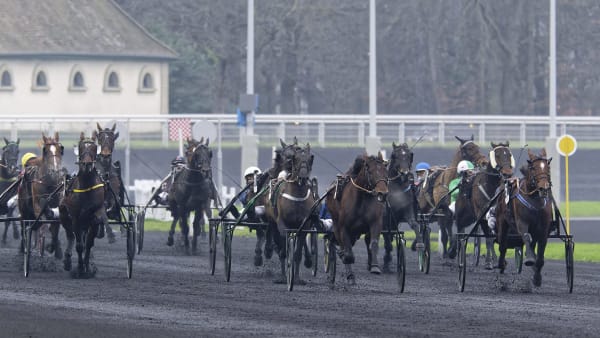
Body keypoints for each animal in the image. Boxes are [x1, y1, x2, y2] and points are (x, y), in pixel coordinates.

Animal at [59, 132, 106, 278]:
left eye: (94, 148)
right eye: (81, 148)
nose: (87, 164)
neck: (86, 187)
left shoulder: (95, 218)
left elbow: (88, 244)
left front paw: (87, 268)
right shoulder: (75, 217)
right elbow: (79, 245)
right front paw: (79, 268)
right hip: (64, 215)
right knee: (70, 235)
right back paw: (67, 260)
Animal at [264, 141, 316, 284]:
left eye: (310, 158)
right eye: (295, 158)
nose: (303, 177)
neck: (297, 197)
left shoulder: (304, 227)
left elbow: (297, 254)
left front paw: (297, 278)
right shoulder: (282, 226)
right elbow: (284, 250)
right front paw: (284, 276)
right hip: (273, 224)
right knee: (279, 246)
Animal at [328, 153, 390, 286]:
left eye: (385, 171)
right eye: (370, 171)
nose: (383, 193)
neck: (363, 198)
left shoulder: (376, 223)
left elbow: (373, 244)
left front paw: (375, 267)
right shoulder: (344, 227)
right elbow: (348, 254)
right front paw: (345, 258)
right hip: (336, 224)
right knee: (342, 244)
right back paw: (349, 273)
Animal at [382, 142, 420, 272]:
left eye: (410, 155)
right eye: (395, 155)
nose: (404, 172)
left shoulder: (407, 211)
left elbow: (415, 225)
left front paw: (419, 244)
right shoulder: (386, 217)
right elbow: (386, 237)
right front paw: (387, 260)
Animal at [494, 149, 552, 286]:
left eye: (548, 167)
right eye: (533, 167)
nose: (544, 187)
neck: (535, 200)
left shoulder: (543, 229)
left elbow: (540, 252)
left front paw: (537, 277)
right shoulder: (522, 222)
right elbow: (525, 236)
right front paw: (530, 259)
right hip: (502, 221)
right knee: (502, 244)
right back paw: (501, 264)